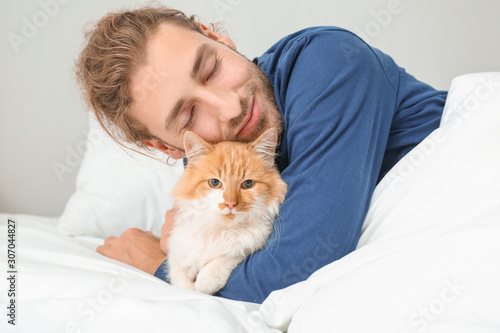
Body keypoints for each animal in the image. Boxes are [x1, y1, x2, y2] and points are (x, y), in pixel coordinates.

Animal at [166, 127, 288, 294]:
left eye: (248, 184)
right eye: (214, 183)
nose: (230, 204)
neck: (220, 229)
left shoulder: (253, 243)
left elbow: (226, 257)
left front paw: (204, 282)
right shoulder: (178, 248)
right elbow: (180, 278)